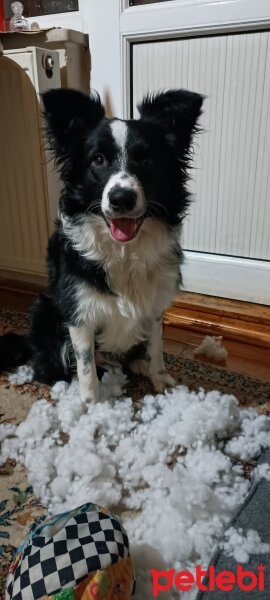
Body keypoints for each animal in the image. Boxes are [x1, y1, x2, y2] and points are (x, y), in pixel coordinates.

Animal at [0, 88, 202, 404]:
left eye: (146, 160)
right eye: (97, 160)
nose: (121, 198)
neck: (124, 251)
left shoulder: (154, 307)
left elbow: (156, 348)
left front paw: (161, 381)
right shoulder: (79, 312)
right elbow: (85, 366)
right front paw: (92, 404)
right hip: (43, 307)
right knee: (53, 368)